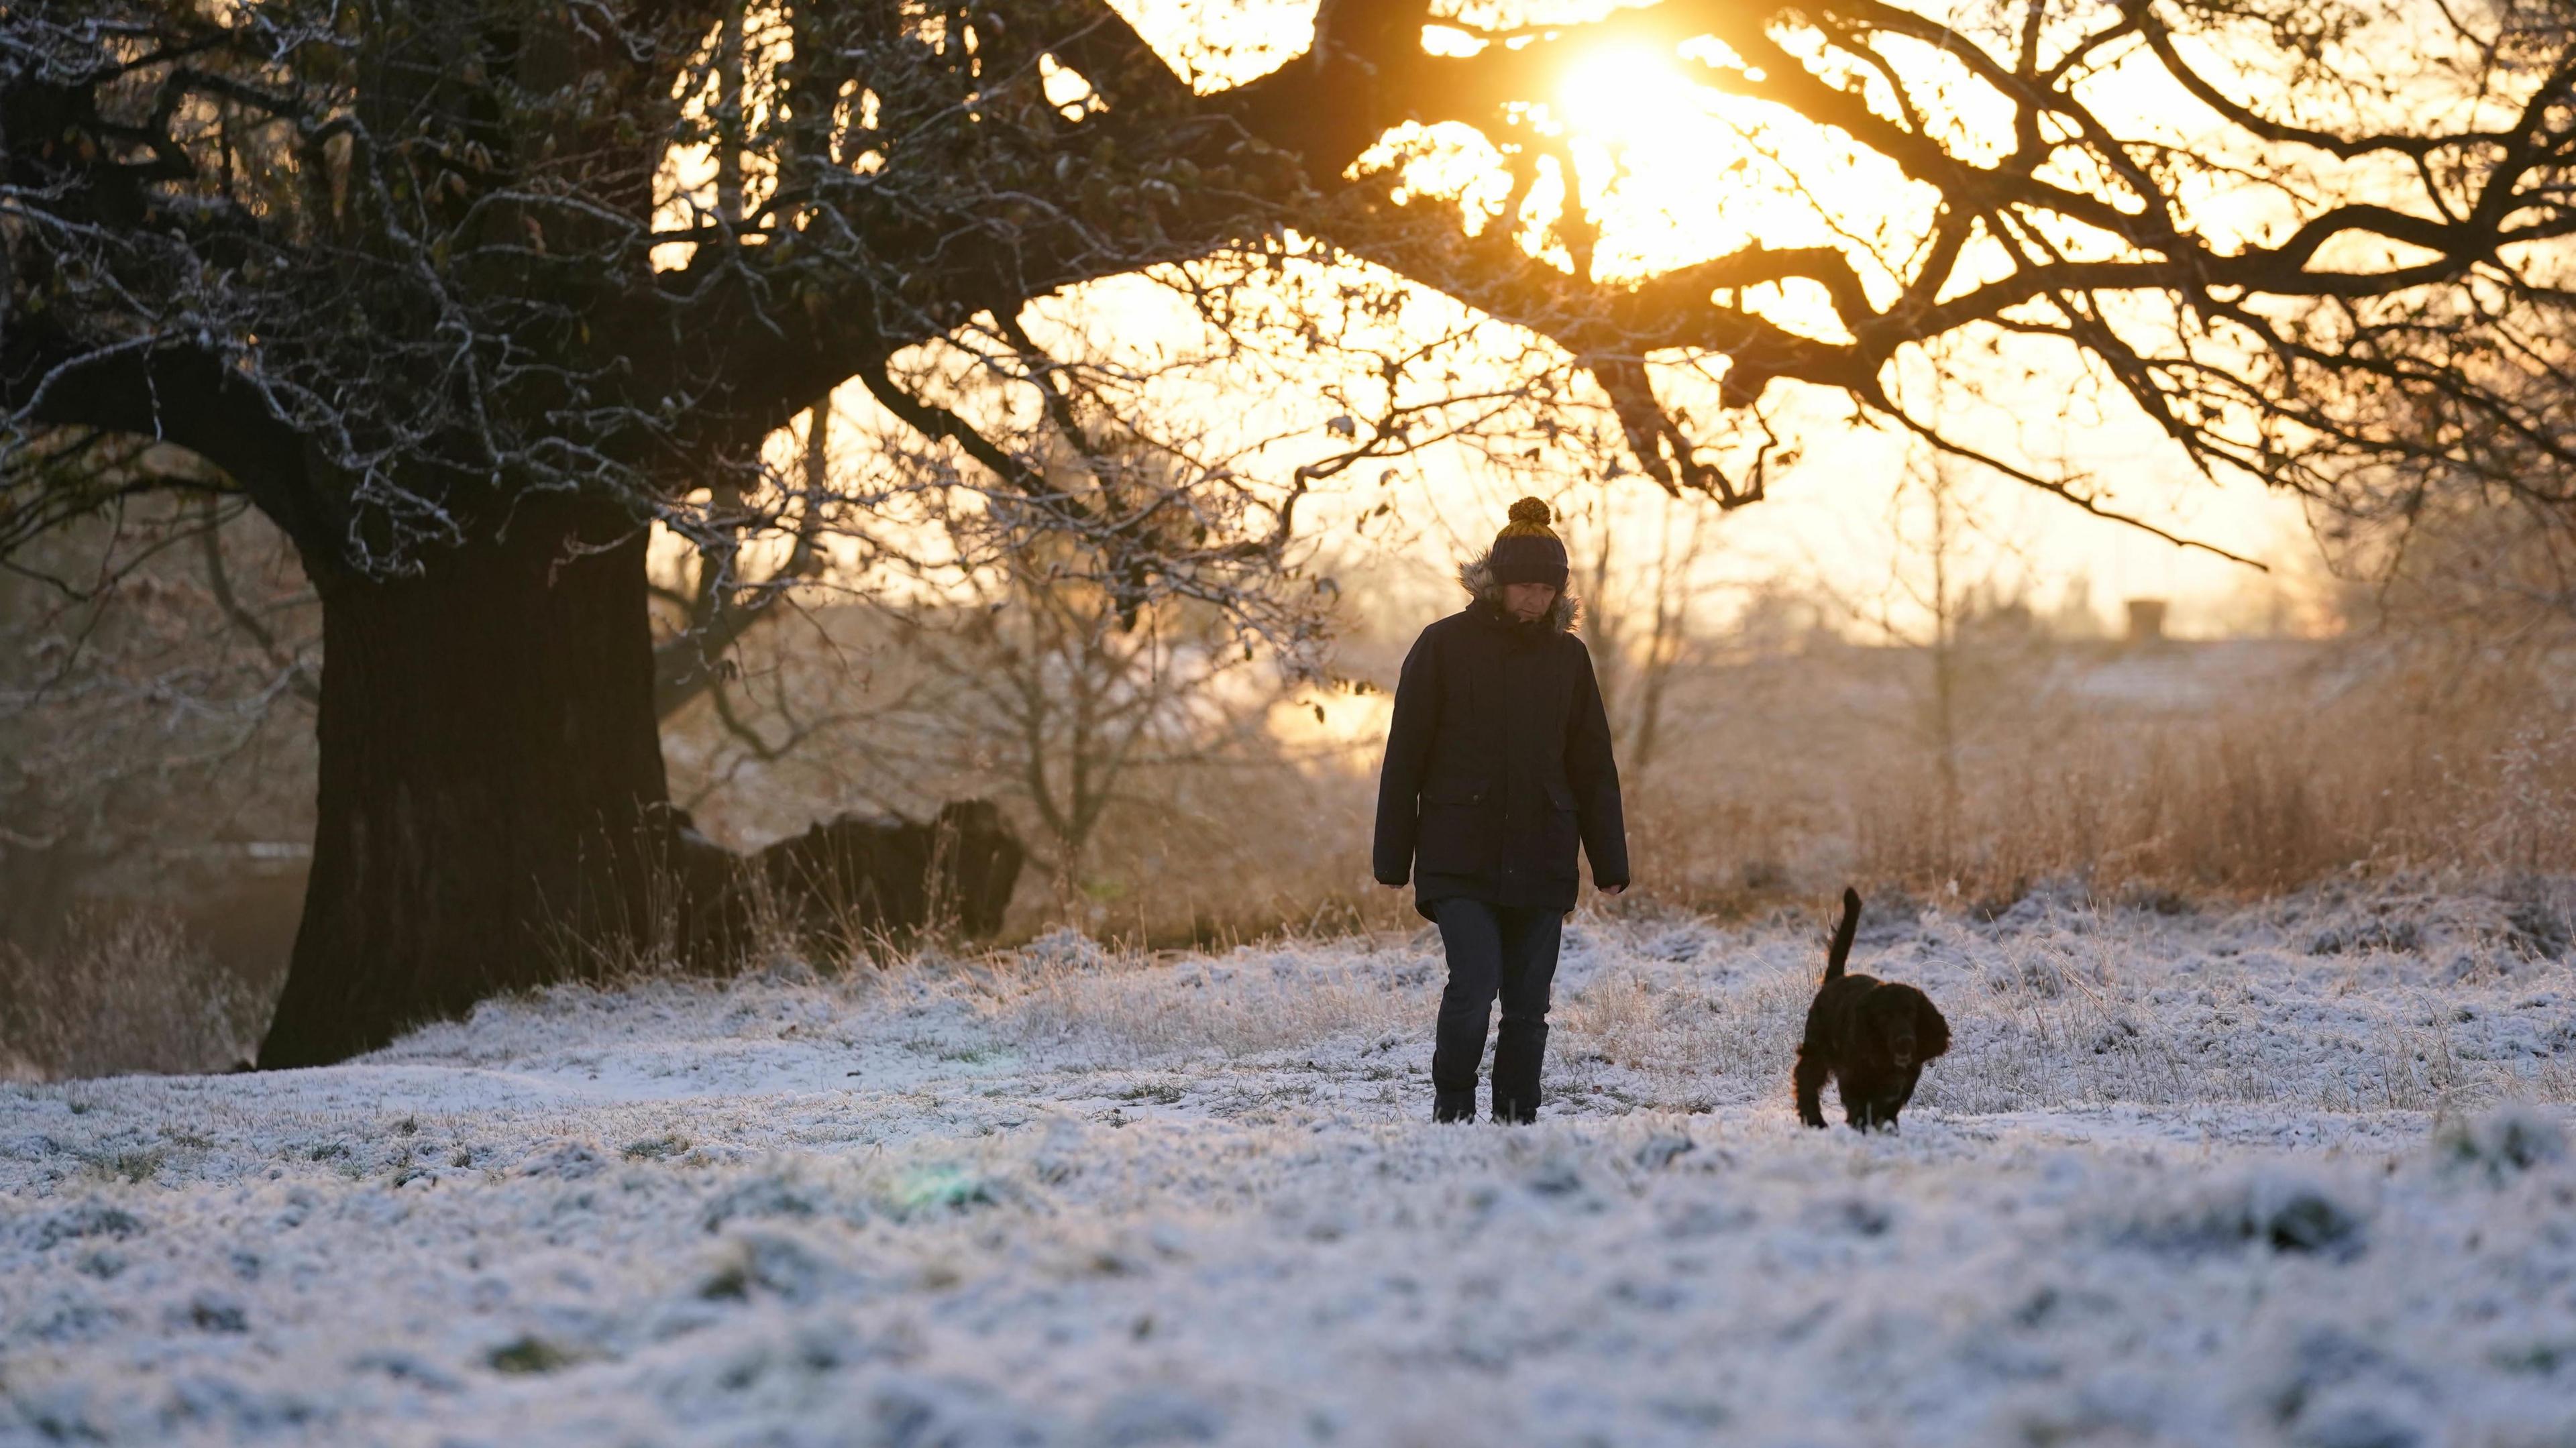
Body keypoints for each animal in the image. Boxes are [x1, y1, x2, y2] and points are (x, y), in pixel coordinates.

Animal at [1792, 881, 1947, 1128]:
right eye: (1884, 1016)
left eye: (1912, 1013)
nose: (1905, 1041)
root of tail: (1836, 979)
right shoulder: (1854, 1075)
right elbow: (1861, 1105)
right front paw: (1863, 1126)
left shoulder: (1904, 1081)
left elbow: (1887, 1106)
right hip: (1817, 1046)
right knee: (1806, 1078)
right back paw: (1816, 1120)